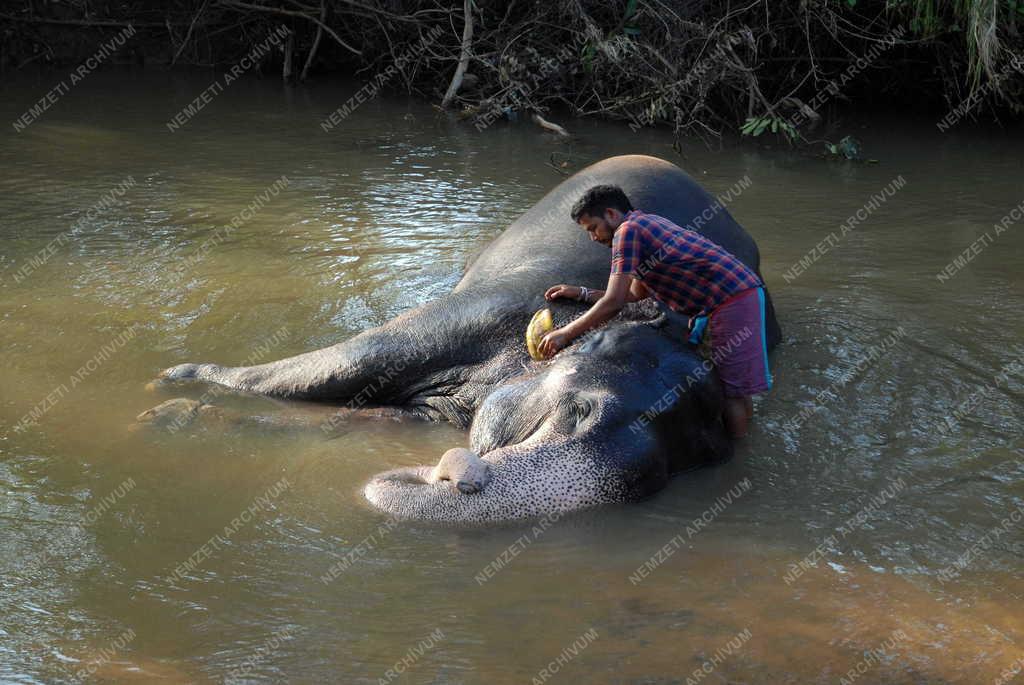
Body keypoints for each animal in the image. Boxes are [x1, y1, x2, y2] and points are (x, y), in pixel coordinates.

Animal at [146, 153, 782, 518]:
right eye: (579, 410)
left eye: (697, 458)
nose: (455, 474)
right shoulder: (483, 312)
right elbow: (339, 363)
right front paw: (171, 384)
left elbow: (378, 418)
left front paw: (174, 413)